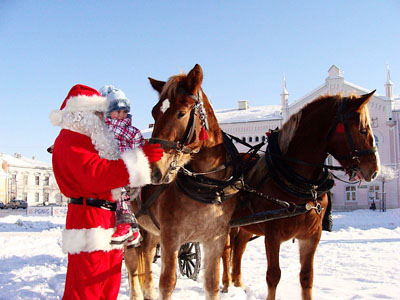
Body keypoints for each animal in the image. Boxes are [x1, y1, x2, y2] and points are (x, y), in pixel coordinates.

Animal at [123, 64, 241, 298]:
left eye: (181, 113)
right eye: (154, 112)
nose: (152, 170)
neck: (208, 188)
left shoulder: (215, 240)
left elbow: (212, 284)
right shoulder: (171, 238)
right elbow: (167, 283)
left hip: (150, 231)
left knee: (147, 259)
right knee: (132, 266)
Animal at [223, 92, 380, 300]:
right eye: (362, 130)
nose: (375, 170)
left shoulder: (311, 236)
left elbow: (307, 277)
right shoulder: (272, 236)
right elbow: (273, 275)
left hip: (247, 224)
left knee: (239, 247)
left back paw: (238, 283)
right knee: (225, 252)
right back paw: (225, 284)